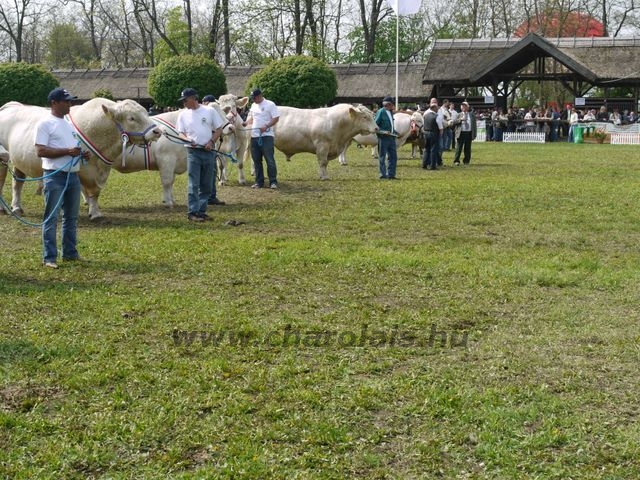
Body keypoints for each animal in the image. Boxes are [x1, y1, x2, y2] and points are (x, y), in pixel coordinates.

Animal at [0, 99, 160, 219]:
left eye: (145, 112)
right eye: (131, 118)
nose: (157, 131)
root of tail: (11, 106)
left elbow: (94, 193)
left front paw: (93, 209)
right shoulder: (86, 171)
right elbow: (89, 190)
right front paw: (93, 212)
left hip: (18, 161)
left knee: (17, 183)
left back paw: (16, 207)